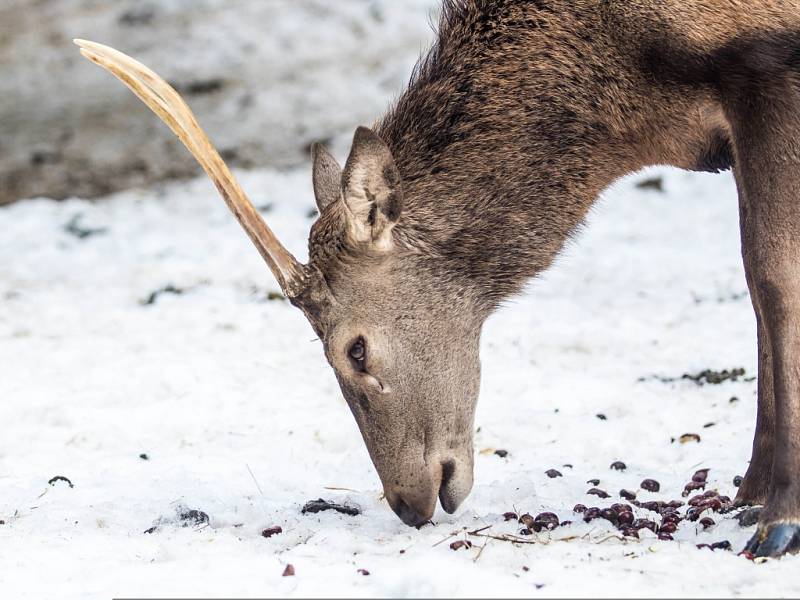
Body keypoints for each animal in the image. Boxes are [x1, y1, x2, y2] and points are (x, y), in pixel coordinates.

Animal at [76, 0, 800, 556]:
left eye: (355, 348)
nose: (406, 501)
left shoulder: (768, 68)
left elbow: (772, 278)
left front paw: (779, 518)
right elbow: (752, 281)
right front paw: (747, 494)